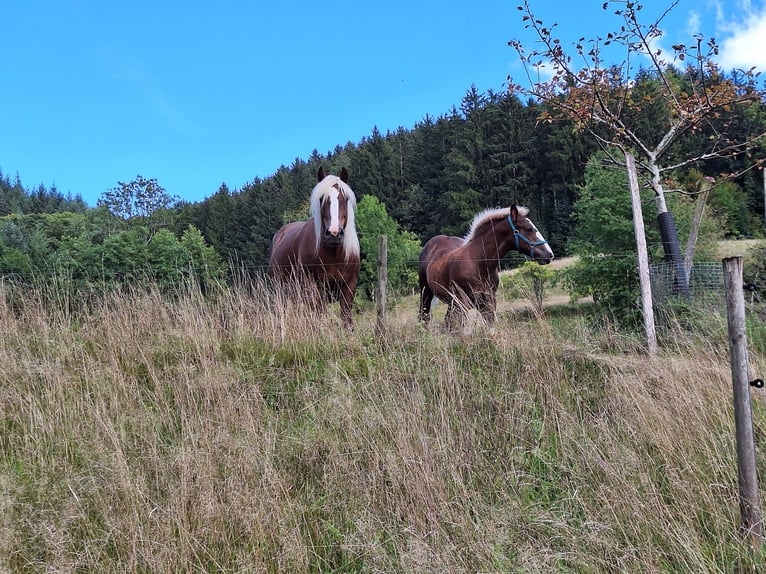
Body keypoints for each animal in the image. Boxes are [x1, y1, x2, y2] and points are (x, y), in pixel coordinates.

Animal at [268, 167, 360, 329]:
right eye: (321, 199)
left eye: (345, 198)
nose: (334, 233)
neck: (334, 255)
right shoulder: (314, 287)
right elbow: (319, 318)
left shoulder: (349, 286)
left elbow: (346, 319)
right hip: (281, 292)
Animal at [418, 205, 554, 329]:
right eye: (529, 229)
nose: (549, 254)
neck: (479, 263)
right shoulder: (463, 303)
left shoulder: (488, 302)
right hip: (426, 292)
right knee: (424, 316)